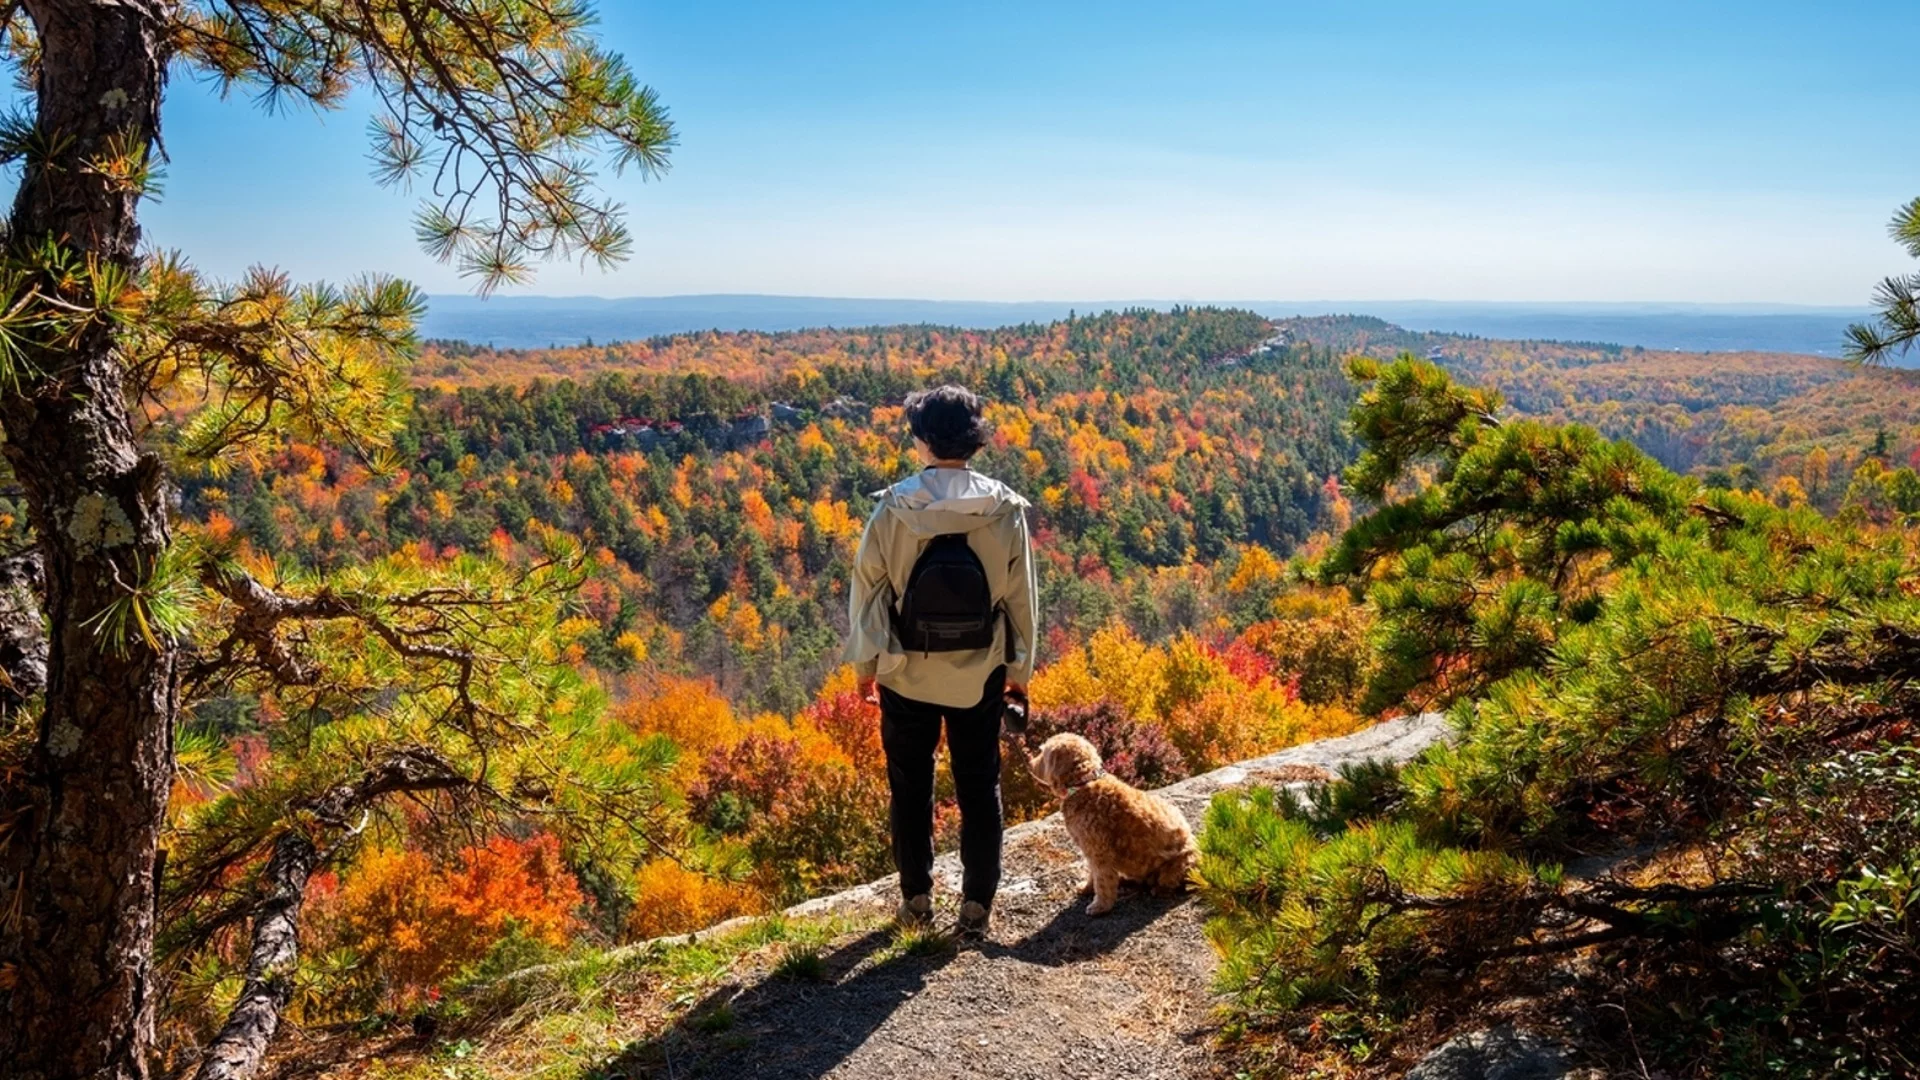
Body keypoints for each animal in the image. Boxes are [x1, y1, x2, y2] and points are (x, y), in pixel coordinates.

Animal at [1029, 730, 1190, 907]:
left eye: (1042, 754)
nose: (1030, 763)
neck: (1082, 784)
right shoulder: (1090, 851)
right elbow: (1093, 875)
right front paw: (1087, 888)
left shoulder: (1100, 852)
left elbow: (1103, 881)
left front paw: (1100, 906)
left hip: (1176, 866)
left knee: (1169, 883)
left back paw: (1159, 889)